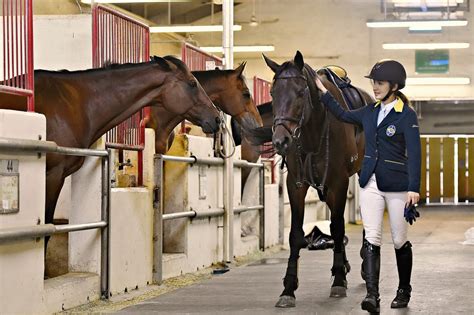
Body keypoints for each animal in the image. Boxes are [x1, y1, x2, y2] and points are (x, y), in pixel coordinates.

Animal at [252, 51, 374, 308]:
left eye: (300, 92)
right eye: (273, 93)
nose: (280, 141)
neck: (313, 131)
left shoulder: (339, 182)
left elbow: (337, 228)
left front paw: (338, 280)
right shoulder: (295, 185)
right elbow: (296, 235)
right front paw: (288, 288)